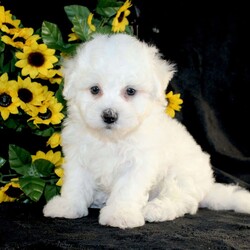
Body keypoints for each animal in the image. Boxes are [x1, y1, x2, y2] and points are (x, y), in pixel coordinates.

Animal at [43, 33, 250, 229]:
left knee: (181, 200)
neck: (111, 139)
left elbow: (127, 189)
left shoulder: (138, 163)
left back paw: (156, 209)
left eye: (130, 91)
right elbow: (75, 183)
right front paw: (67, 206)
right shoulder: (78, 157)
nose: (109, 115)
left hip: (182, 175)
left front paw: (120, 214)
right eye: (95, 89)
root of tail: (207, 187)